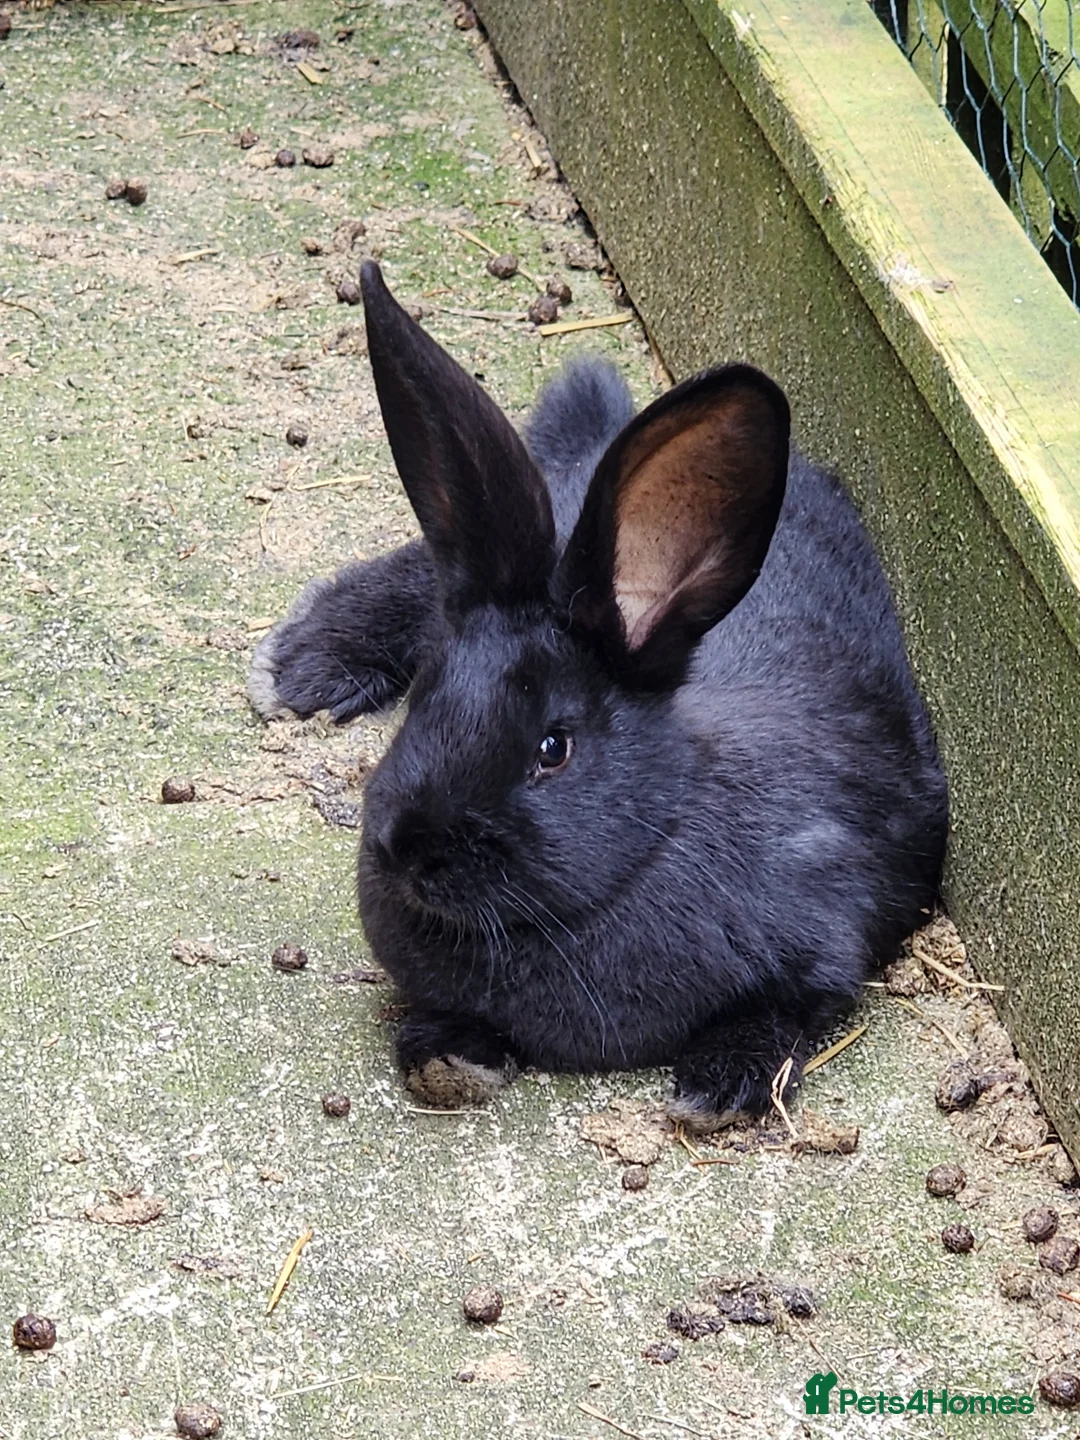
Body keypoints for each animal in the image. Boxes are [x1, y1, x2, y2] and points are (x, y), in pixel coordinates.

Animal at [249, 261, 948, 1129]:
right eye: (423, 701)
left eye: (554, 748)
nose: (408, 851)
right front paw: (449, 1057)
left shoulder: (829, 933)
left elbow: (792, 1007)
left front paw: (715, 1086)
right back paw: (300, 664)